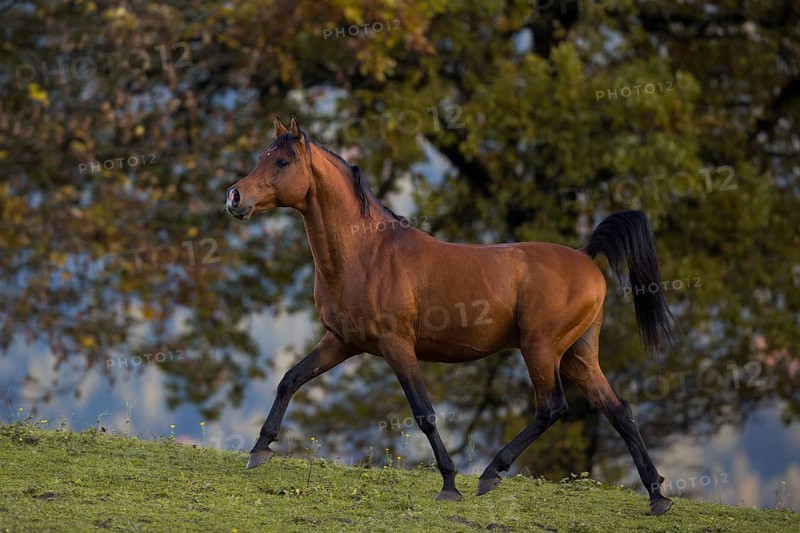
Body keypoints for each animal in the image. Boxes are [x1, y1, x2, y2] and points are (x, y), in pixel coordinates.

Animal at [225, 116, 676, 516]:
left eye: (282, 162)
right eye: (262, 156)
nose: (234, 197)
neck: (367, 253)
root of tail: (585, 256)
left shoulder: (397, 346)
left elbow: (424, 413)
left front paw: (448, 485)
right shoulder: (341, 342)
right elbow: (290, 379)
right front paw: (259, 451)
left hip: (541, 350)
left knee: (552, 408)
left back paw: (491, 474)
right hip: (577, 355)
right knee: (618, 410)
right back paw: (657, 497)